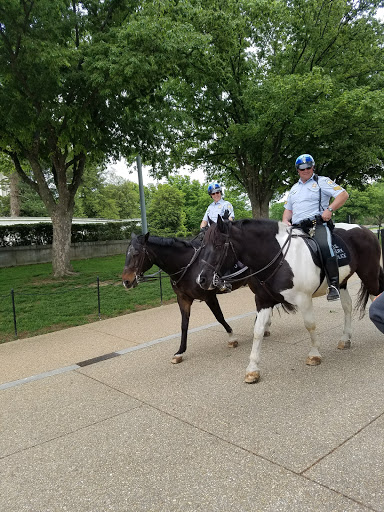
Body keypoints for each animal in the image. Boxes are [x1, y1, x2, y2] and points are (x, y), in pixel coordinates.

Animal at [121, 232, 255, 364]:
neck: (188, 266)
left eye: (136, 253)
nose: (126, 281)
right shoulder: (183, 299)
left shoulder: (209, 297)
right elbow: (184, 325)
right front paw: (179, 352)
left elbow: (219, 317)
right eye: (126, 253)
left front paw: (232, 338)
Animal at [196, 217, 382, 384]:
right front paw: (252, 369)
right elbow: (258, 331)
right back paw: (345, 339)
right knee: (347, 306)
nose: (201, 279)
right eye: (202, 246)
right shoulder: (263, 301)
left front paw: (314, 354)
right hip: (342, 283)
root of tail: (365, 230)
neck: (279, 259)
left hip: (369, 275)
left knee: (376, 295)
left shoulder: (304, 299)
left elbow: (310, 325)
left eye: (218, 245)